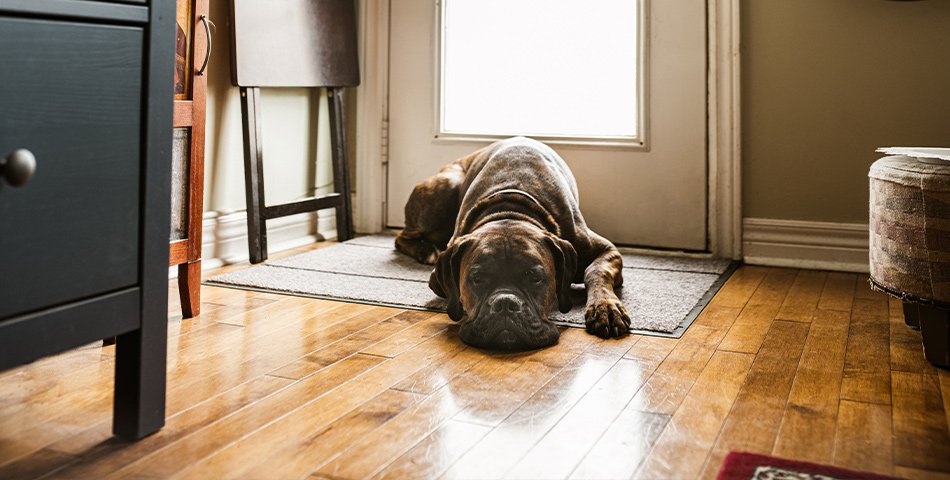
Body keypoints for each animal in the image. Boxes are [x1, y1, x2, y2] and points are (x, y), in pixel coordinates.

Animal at [395, 137, 630, 351]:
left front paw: (605, 307)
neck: (510, 209)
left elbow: (596, 271)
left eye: (535, 277)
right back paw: (426, 250)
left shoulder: (605, 250)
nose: (505, 304)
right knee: (400, 238)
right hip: (446, 187)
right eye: (477, 278)